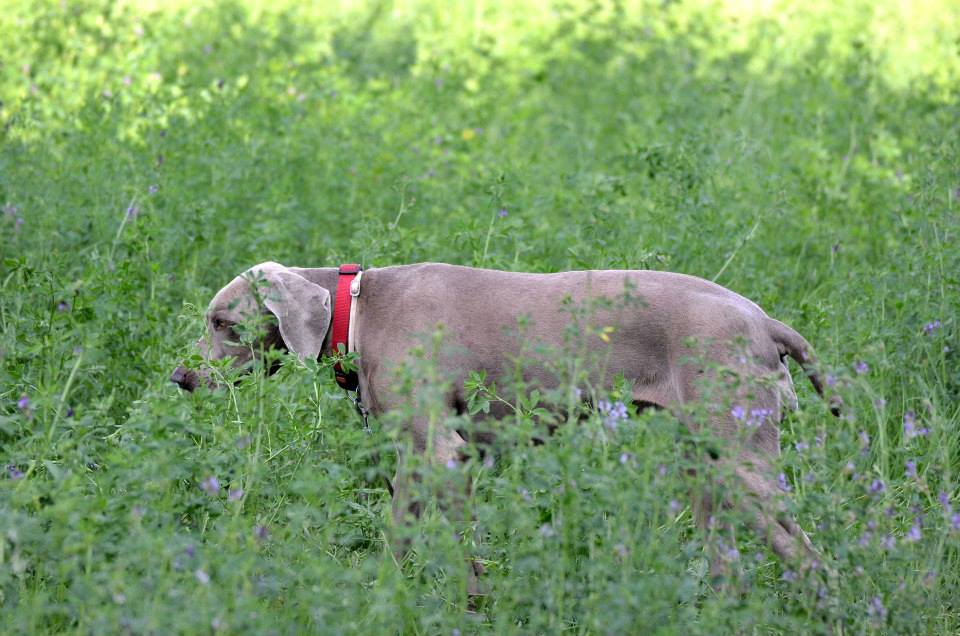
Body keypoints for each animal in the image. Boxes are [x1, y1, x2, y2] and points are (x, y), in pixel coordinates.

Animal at [174, 260, 840, 568]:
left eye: (222, 322)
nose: (180, 378)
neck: (357, 309)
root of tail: (764, 320)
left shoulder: (437, 453)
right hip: (706, 469)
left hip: (740, 462)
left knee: (812, 558)